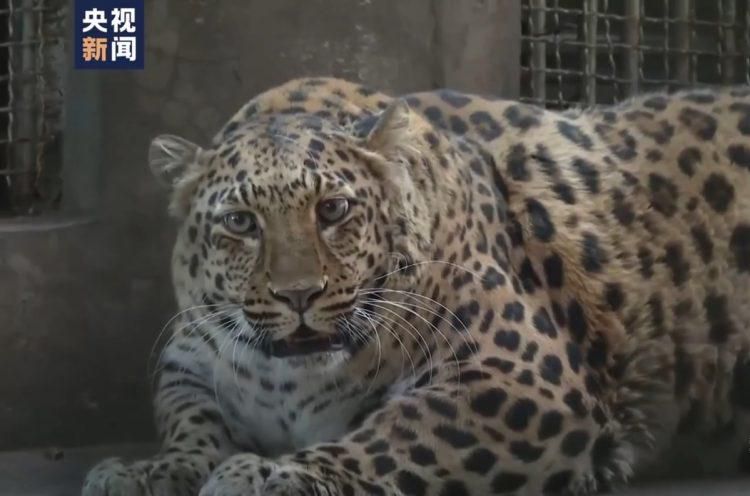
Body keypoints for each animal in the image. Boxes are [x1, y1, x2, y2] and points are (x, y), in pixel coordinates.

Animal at [82, 77, 750, 496]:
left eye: (333, 210)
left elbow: (398, 434)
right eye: (241, 223)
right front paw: (149, 471)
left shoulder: (521, 377)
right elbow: (191, 419)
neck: (288, 383)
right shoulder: (189, 358)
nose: (298, 295)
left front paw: (268, 476)